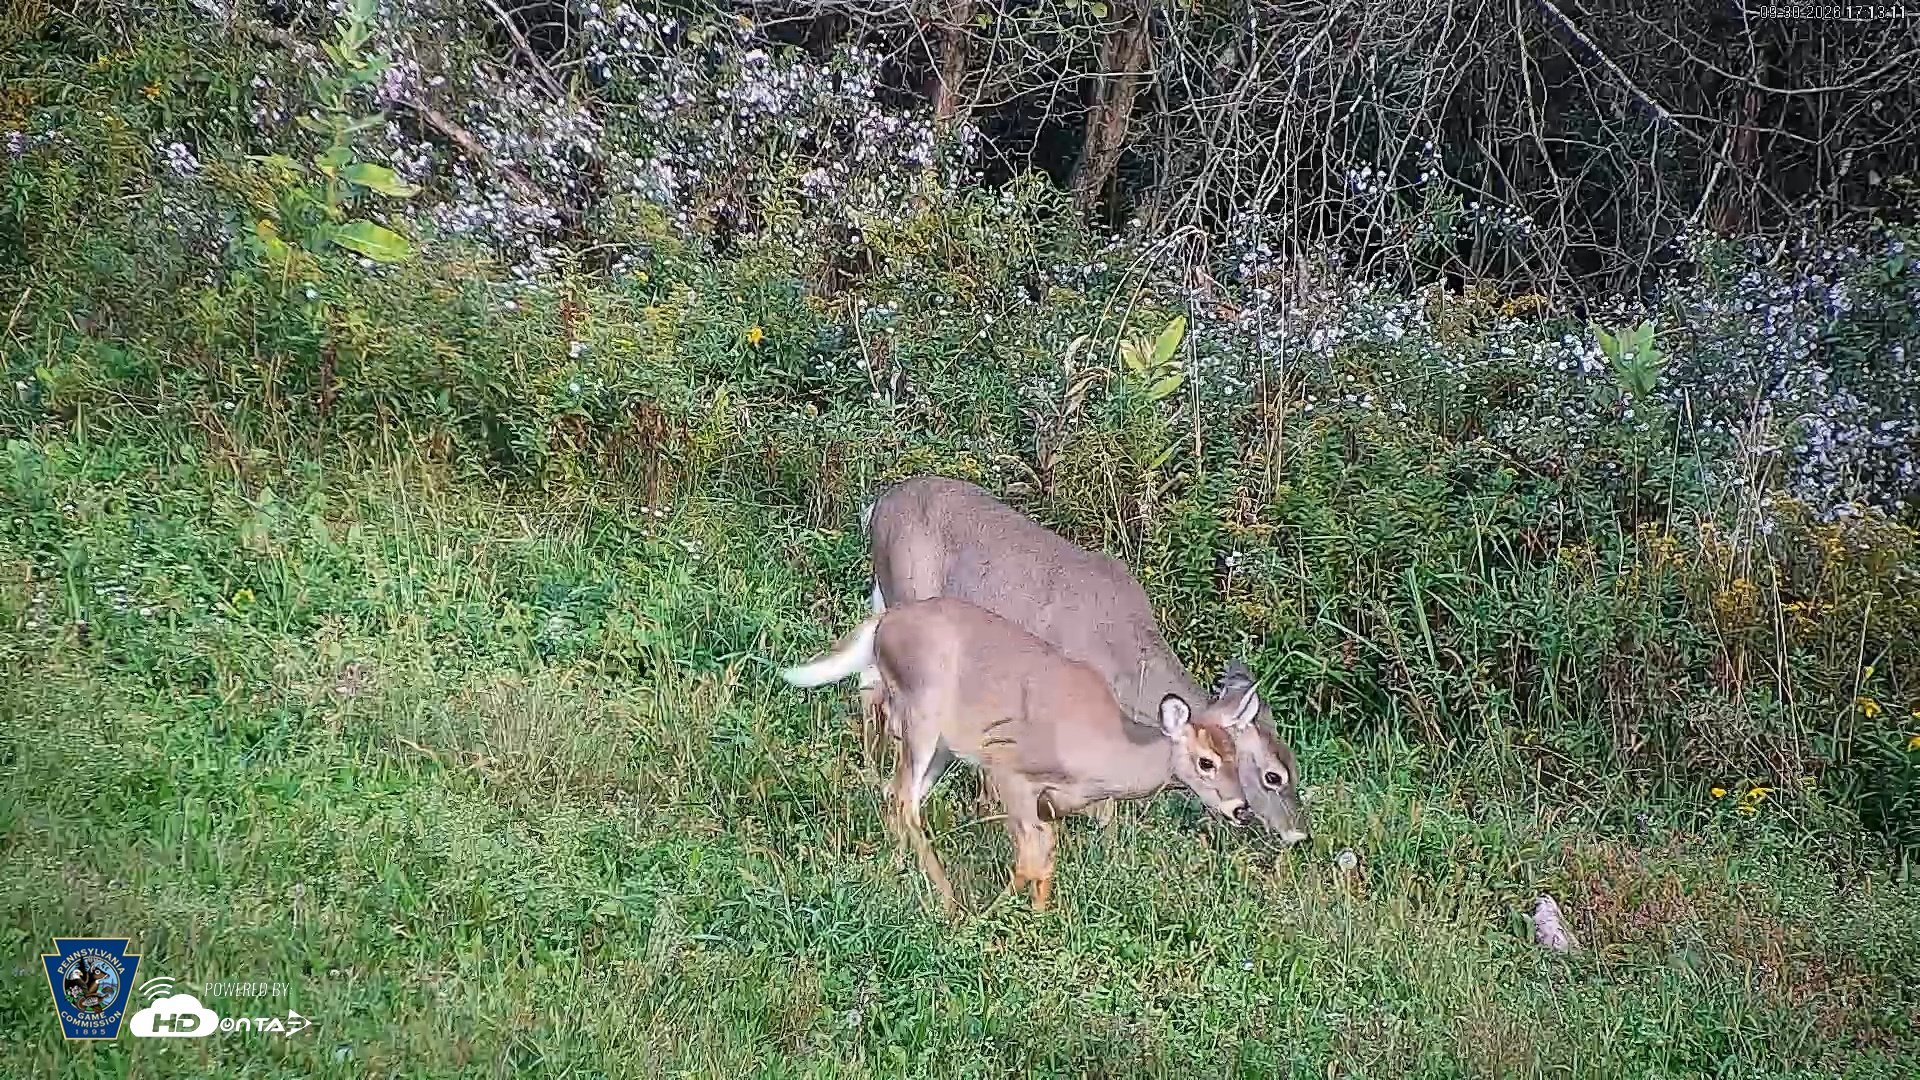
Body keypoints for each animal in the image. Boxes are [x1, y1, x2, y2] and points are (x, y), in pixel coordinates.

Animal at [781, 596, 1254, 911]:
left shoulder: (1051, 804)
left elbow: (1046, 858)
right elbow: (1030, 859)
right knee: (904, 799)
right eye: (1206, 762)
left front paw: (1039, 920)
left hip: (943, 745)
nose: (1241, 809)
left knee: (894, 795)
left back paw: (895, 873)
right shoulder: (1011, 770)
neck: (1108, 754)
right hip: (922, 712)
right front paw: (996, 918)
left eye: (1237, 757)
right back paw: (951, 906)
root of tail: (881, 623)